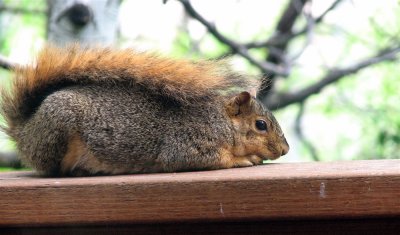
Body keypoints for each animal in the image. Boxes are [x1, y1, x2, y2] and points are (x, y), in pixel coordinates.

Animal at [0, 45, 288, 175]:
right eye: (261, 125)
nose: (285, 150)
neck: (219, 121)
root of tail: (25, 131)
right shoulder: (186, 144)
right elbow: (212, 159)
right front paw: (245, 159)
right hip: (57, 129)